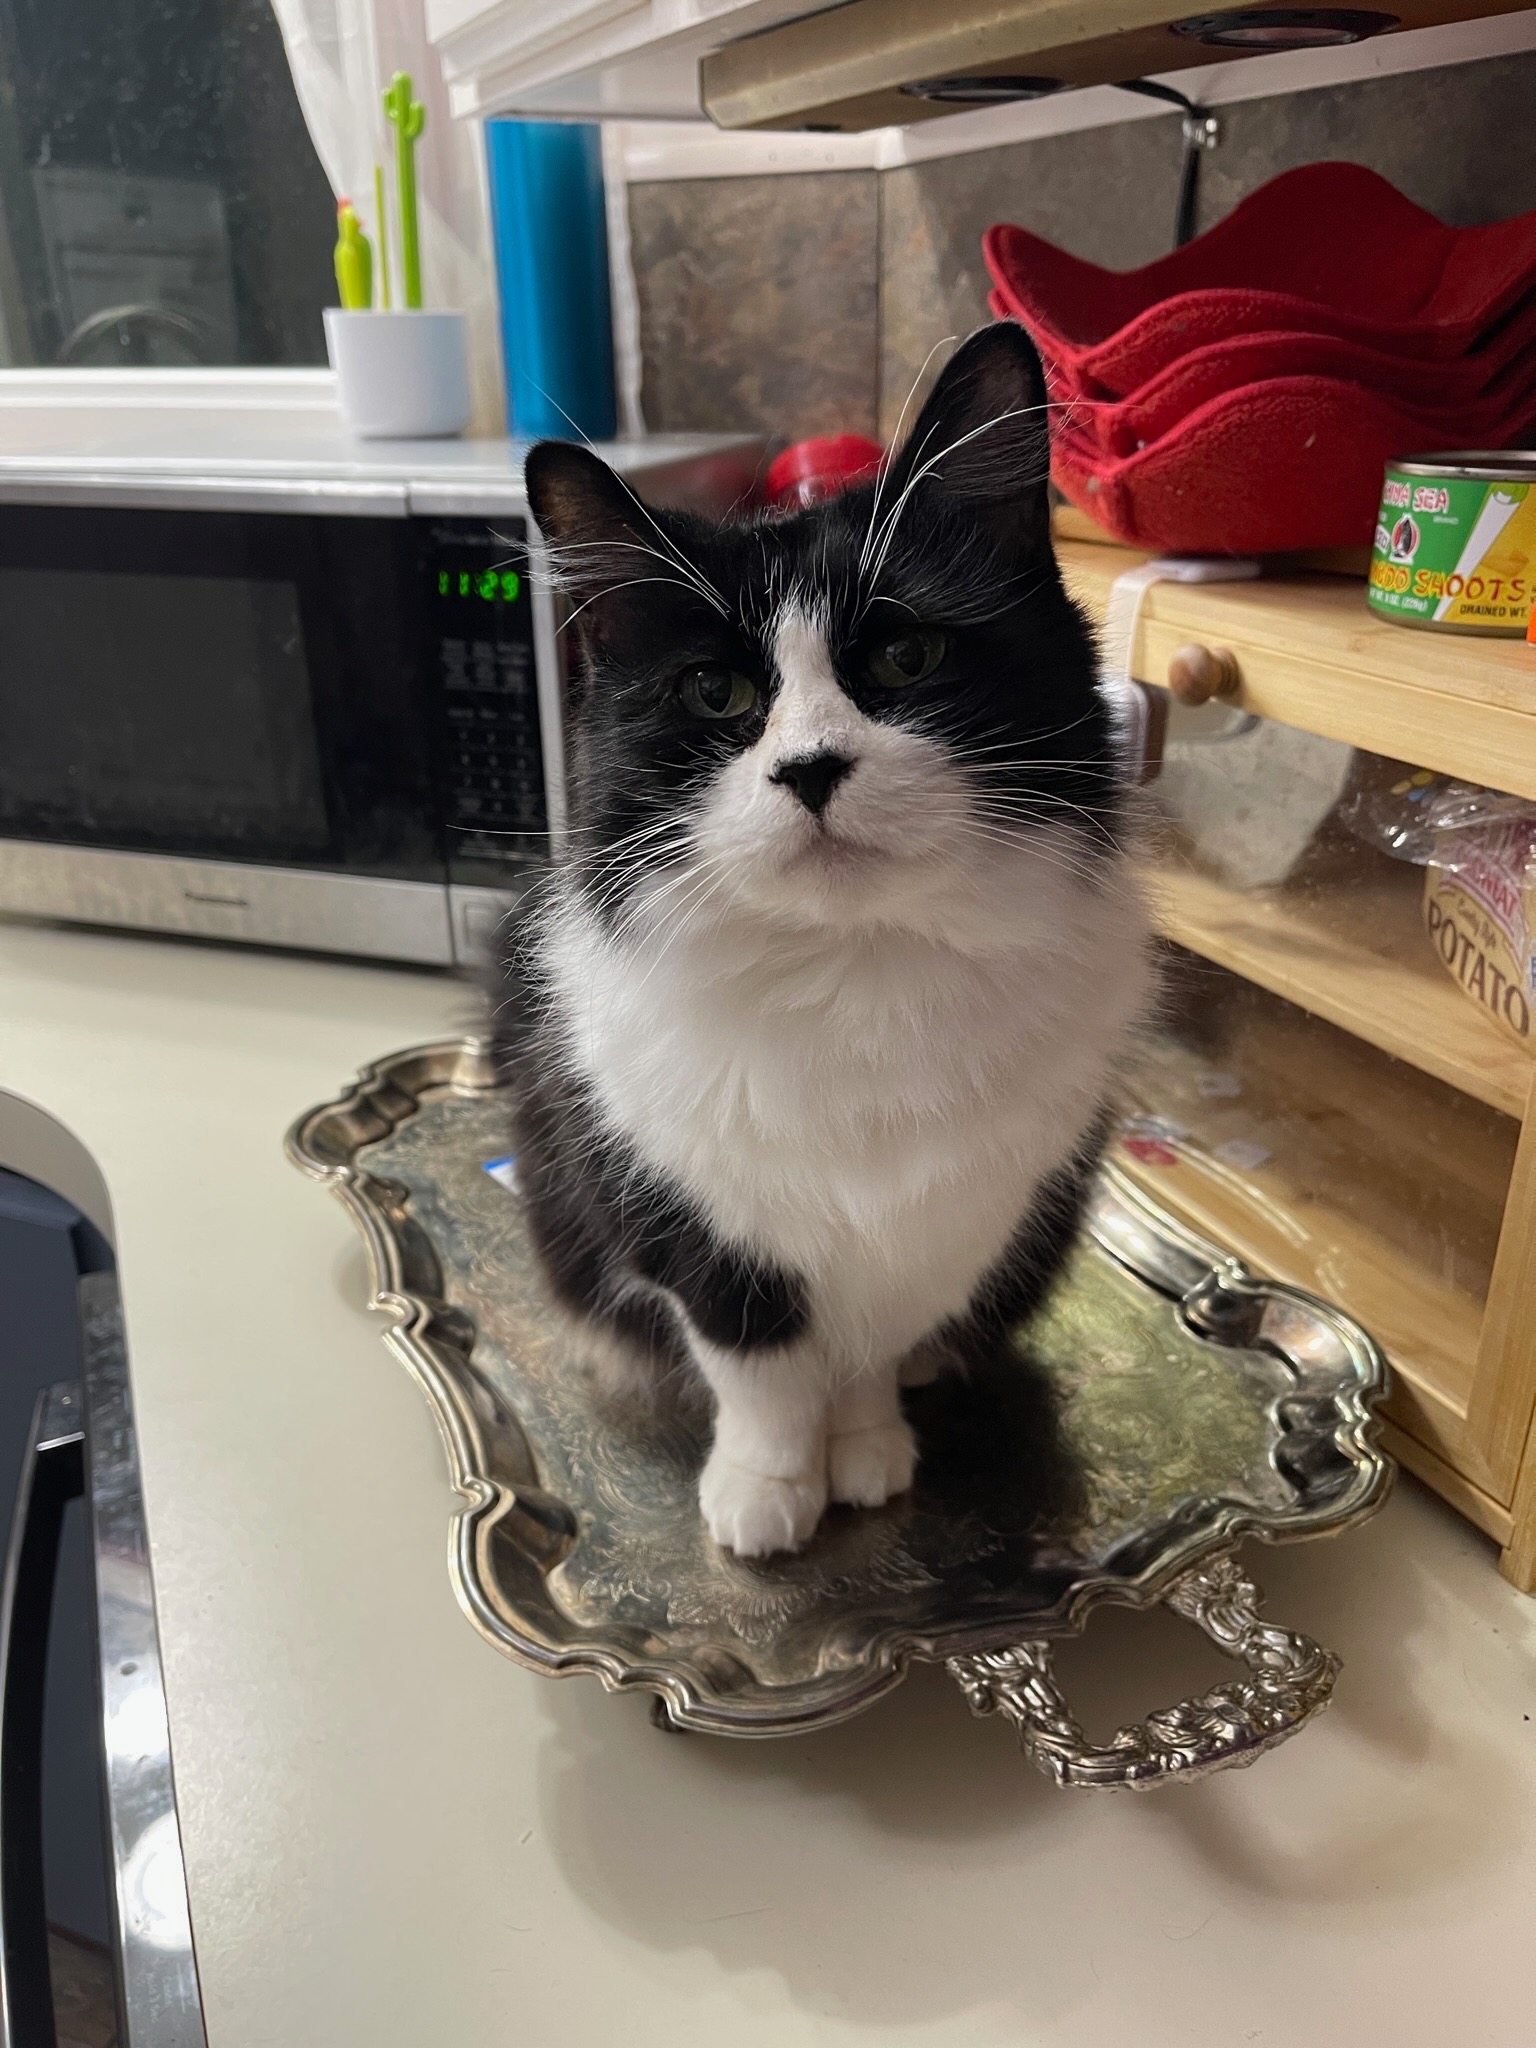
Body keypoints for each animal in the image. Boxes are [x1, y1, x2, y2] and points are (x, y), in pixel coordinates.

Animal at [494, 321, 1152, 1558]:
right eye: (715, 691)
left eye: (905, 661)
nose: (809, 768)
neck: (855, 969)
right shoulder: (694, 1210)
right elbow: (757, 1356)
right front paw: (766, 1483)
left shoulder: (953, 1217)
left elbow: (871, 1346)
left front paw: (867, 1446)